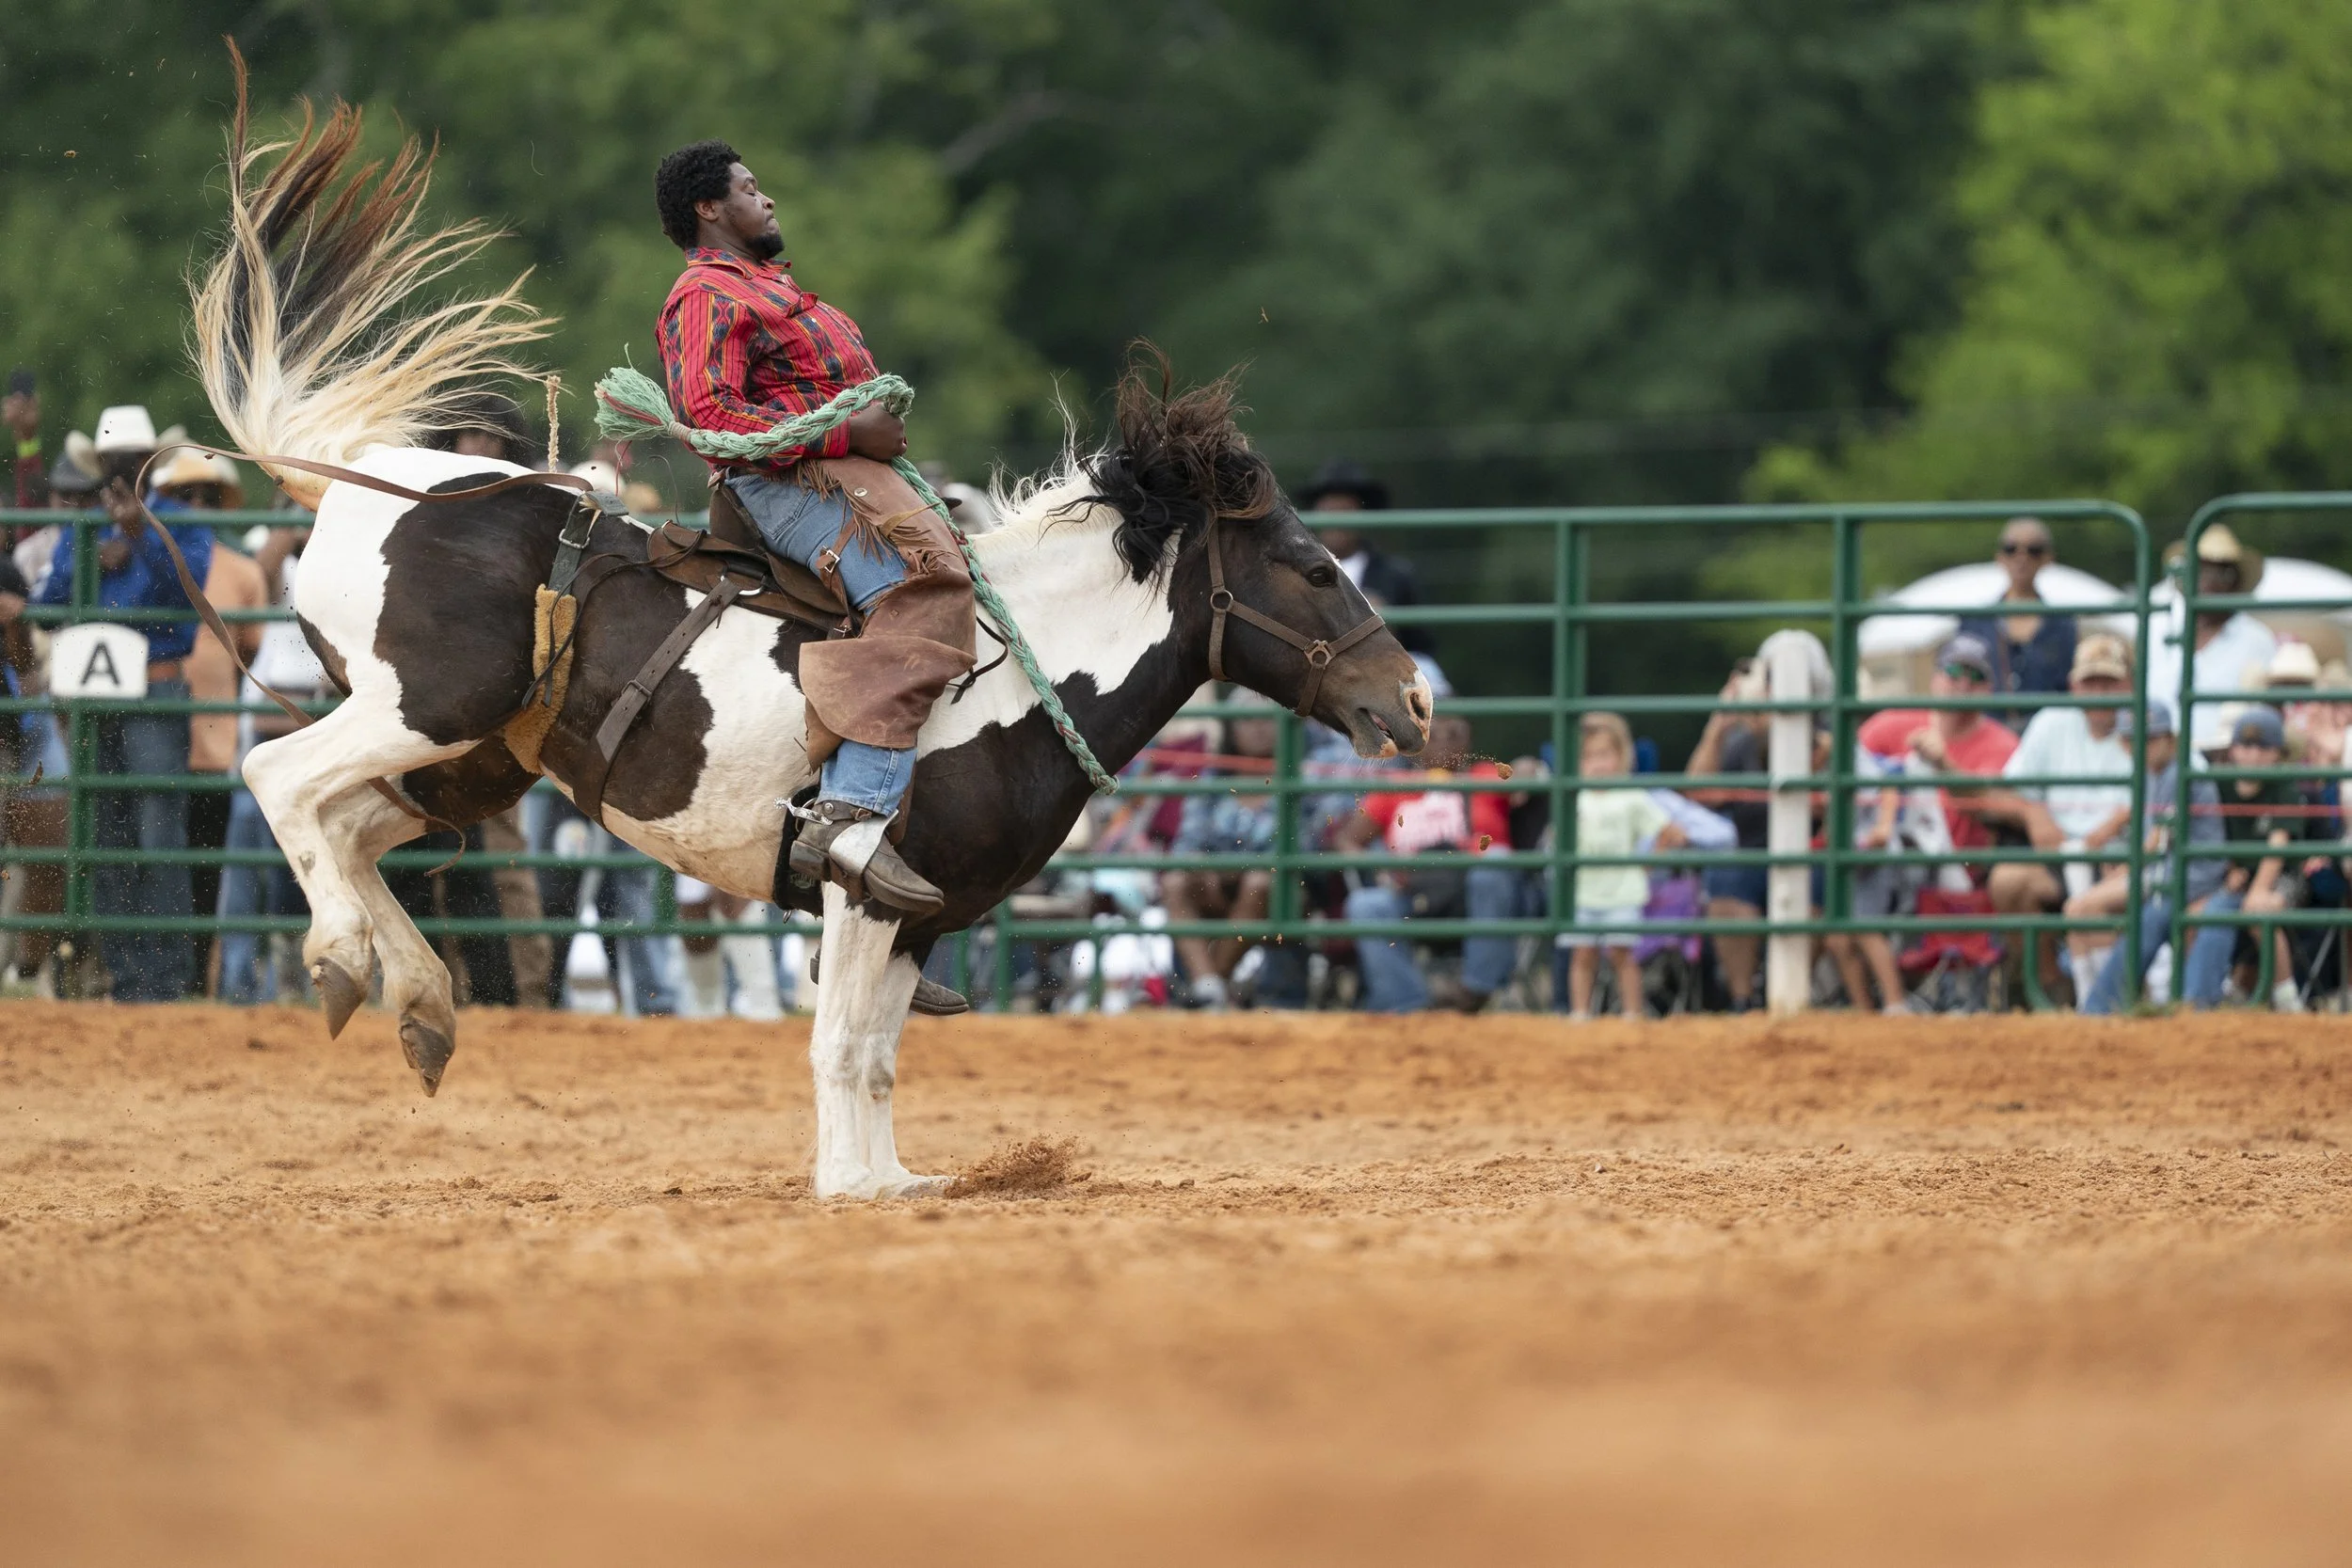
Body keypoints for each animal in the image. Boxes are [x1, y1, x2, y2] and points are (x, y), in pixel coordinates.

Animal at [189, 76, 1432, 1199]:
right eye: (1315, 569)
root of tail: (368, 481)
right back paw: (343, 959)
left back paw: (420, 1005)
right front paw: (845, 1186)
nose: (1414, 698)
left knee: (348, 824)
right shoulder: (863, 886)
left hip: (469, 759)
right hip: (421, 707)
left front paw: (891, 1179)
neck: (1023, 676)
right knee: (281, 774)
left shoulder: (926, 908)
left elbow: (877, 1053)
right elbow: (839, 1041)